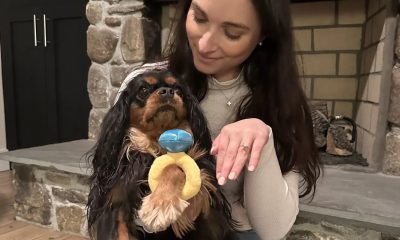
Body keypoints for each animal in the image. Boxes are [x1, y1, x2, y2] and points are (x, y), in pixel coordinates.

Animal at [86, 68, 238, 239]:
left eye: (178, 90)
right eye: (143, 90)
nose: (167, 92)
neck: (155, 143)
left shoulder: (205, 197)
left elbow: (173, 167)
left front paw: (159, 207)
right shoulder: (115, 204)